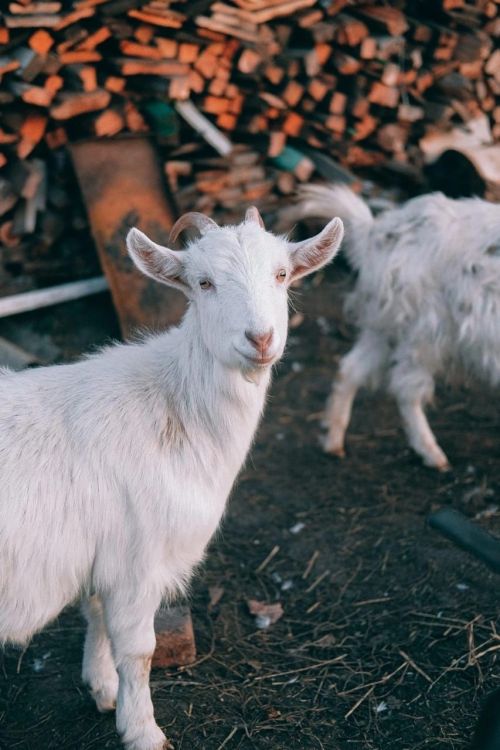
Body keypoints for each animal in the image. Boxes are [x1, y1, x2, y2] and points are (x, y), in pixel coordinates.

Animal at [0, 206, 343, 750]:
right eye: (204, 283)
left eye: (282, 274)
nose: (260, 339)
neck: (170, 406)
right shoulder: (137, 558)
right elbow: (139, 650)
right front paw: (144, 731)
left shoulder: (106, 556)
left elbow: (97, 618)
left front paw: (104, 691)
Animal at [286, 183, 500, 470]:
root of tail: (374, 235)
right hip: (424, 332)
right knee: (405, 389)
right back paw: (434, 456)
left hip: (386, 326)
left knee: (351, 368)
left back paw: (333, 441)